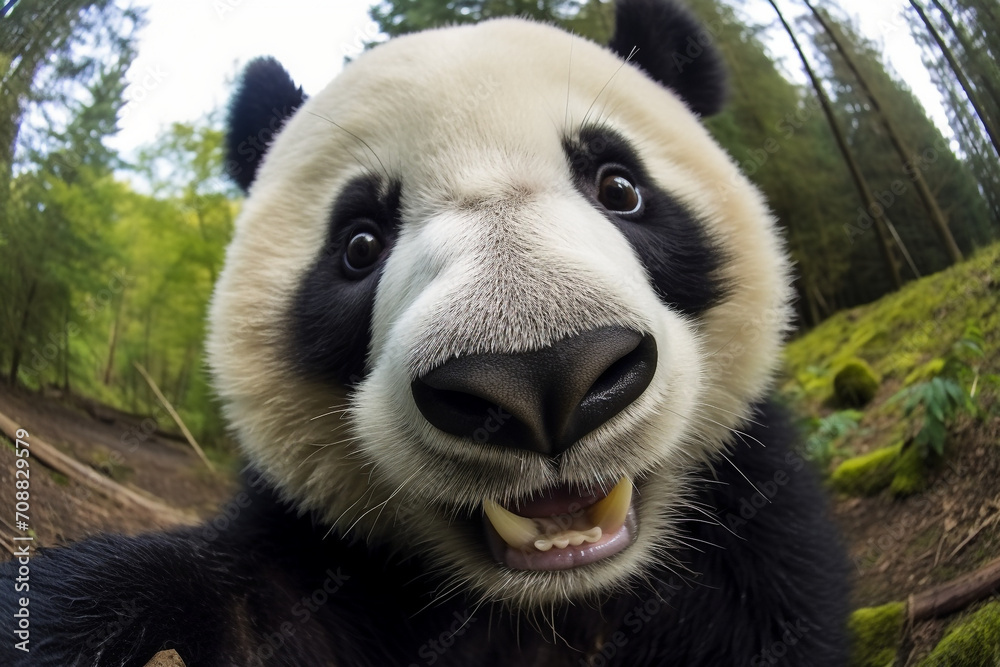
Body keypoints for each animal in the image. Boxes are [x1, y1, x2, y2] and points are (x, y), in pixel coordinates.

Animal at [1, 0, 849, 664]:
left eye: (620, 187)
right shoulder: (310, 571)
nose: (540, 377)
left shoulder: (750, 552)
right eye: (359, 243)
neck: (550, 602)